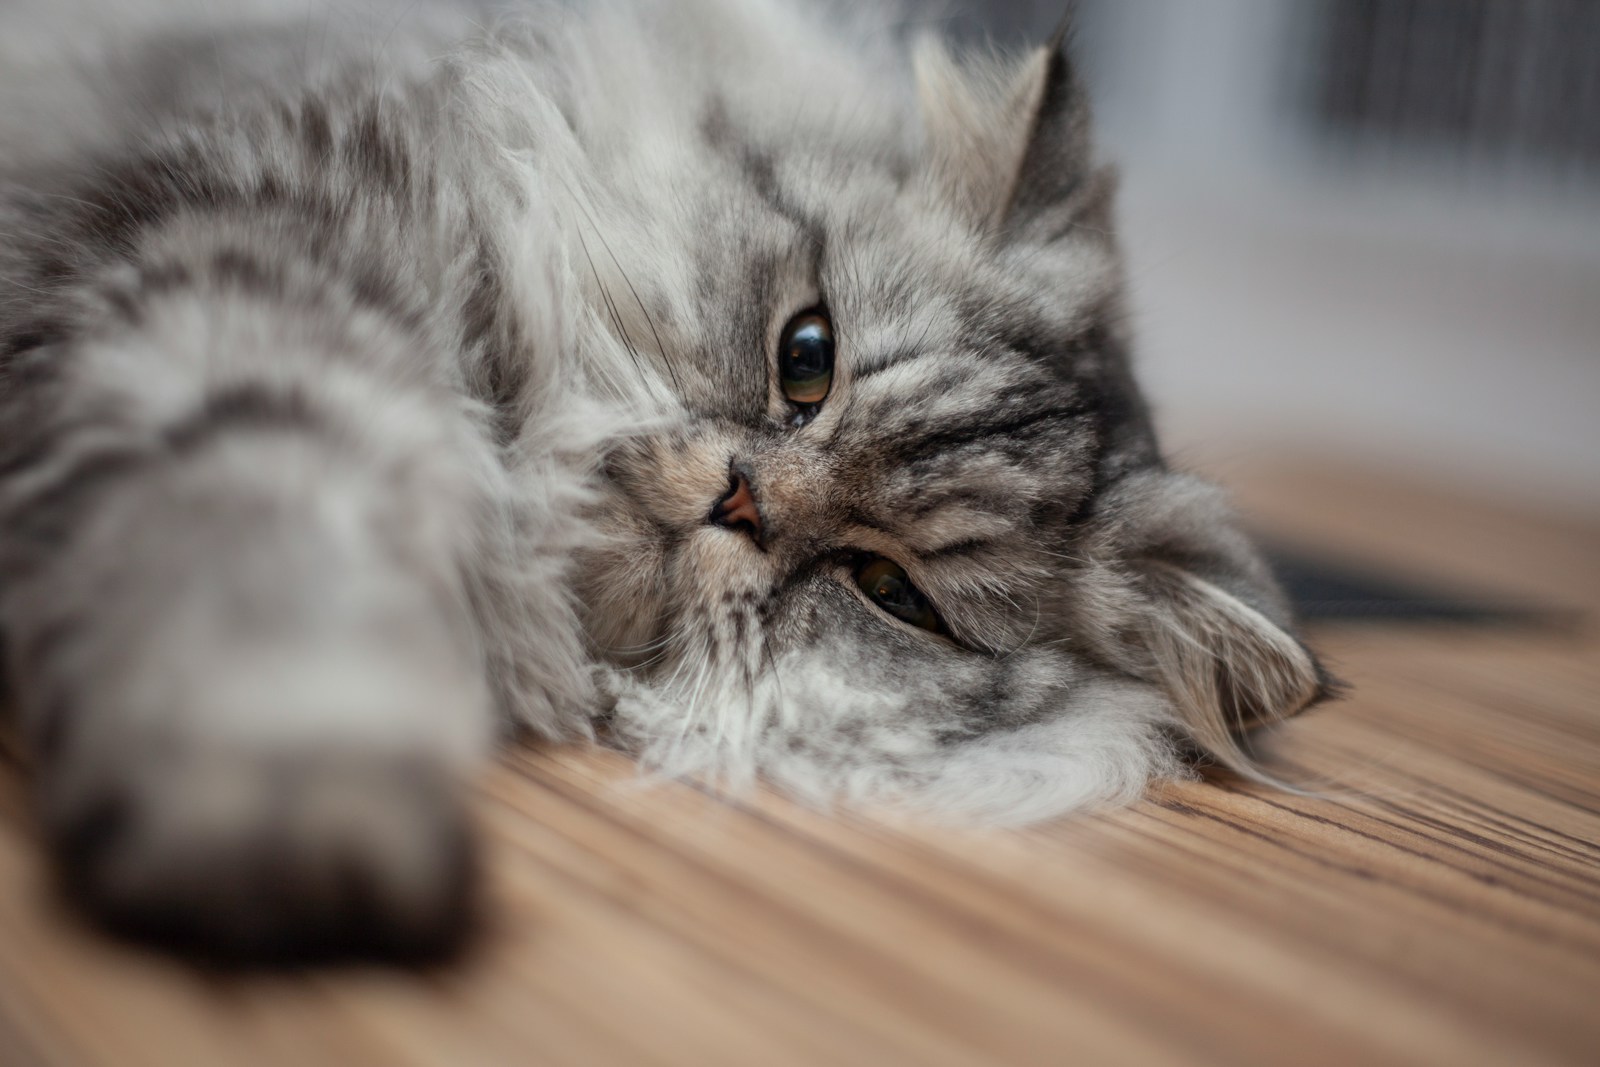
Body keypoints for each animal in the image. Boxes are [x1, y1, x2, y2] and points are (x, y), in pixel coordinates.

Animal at [0, 0, 1324, 966]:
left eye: (890, 590)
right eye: (806, 358)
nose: (742, 500)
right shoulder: (240, 251)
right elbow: (271, 525)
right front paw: (290, 794)